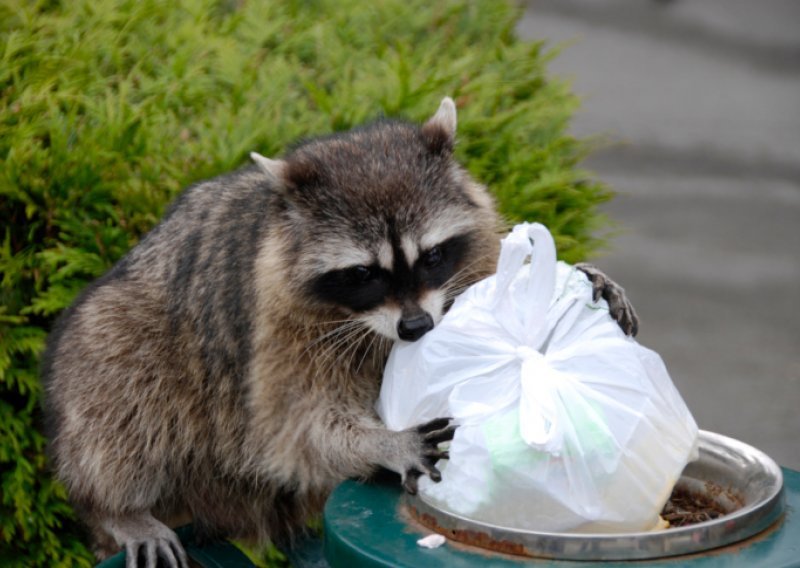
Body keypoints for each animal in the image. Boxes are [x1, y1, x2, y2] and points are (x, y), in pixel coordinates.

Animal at [42, 100, 636, 564]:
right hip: (122, 335)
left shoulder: (469, 256)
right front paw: (384, 441)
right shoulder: (278, 330)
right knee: (119, 382)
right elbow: (296, 427)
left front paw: (579, 278)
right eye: (363, 274)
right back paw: (117, 507)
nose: (416, 327)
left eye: (432, 256)